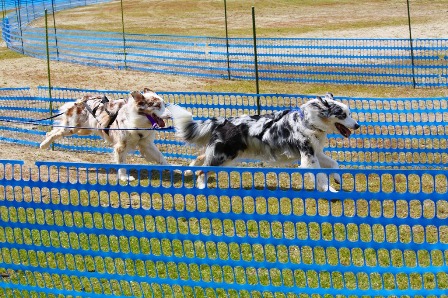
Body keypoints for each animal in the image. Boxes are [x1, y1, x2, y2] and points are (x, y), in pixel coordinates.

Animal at [39, 88, 172, 180]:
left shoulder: (146, 144)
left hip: (83, 130)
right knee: (53, 133)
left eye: (164, 104)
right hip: (72, 128)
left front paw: (171, 168)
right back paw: (44, 145)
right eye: (157, 106)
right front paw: (124, 177)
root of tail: (82, 100)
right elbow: (121, 162)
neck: (139, 121)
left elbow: (160, 156)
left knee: (53, 131)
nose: (171, 115)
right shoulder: (121, 145)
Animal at [168, 93, 360, 191]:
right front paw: (330, 191)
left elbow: (334, 163)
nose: (357, 125)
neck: (309, 122)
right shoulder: (308, 157)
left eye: (349, 114)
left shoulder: (316, 152)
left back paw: (191, 168)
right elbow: (320, 176)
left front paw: (337, 179)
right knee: (203, 170)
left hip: (226, 155)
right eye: (342, 115)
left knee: (201, 157)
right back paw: (201, 188)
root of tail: (223, 121)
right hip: (223, 156)